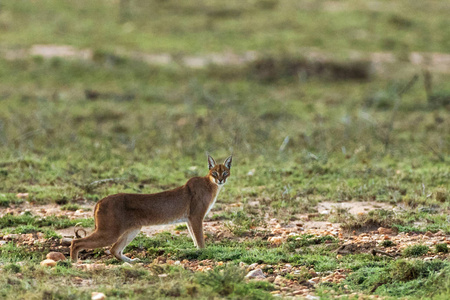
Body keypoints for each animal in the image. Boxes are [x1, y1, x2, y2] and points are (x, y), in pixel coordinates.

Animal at [71, 155, 232, 262]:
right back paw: (73, 264)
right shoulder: (196, 216)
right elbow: (200, 238)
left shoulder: (189, 219)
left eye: (225, 172)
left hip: (133, 229)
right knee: (76, 242)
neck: (211, 185)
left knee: (114, 249)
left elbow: (194, 237)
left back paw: (132, 262)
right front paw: (204, 252)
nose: (220, 180)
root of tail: (100, 200)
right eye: (214, 172)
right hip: (109, 232)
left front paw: (197, 251)